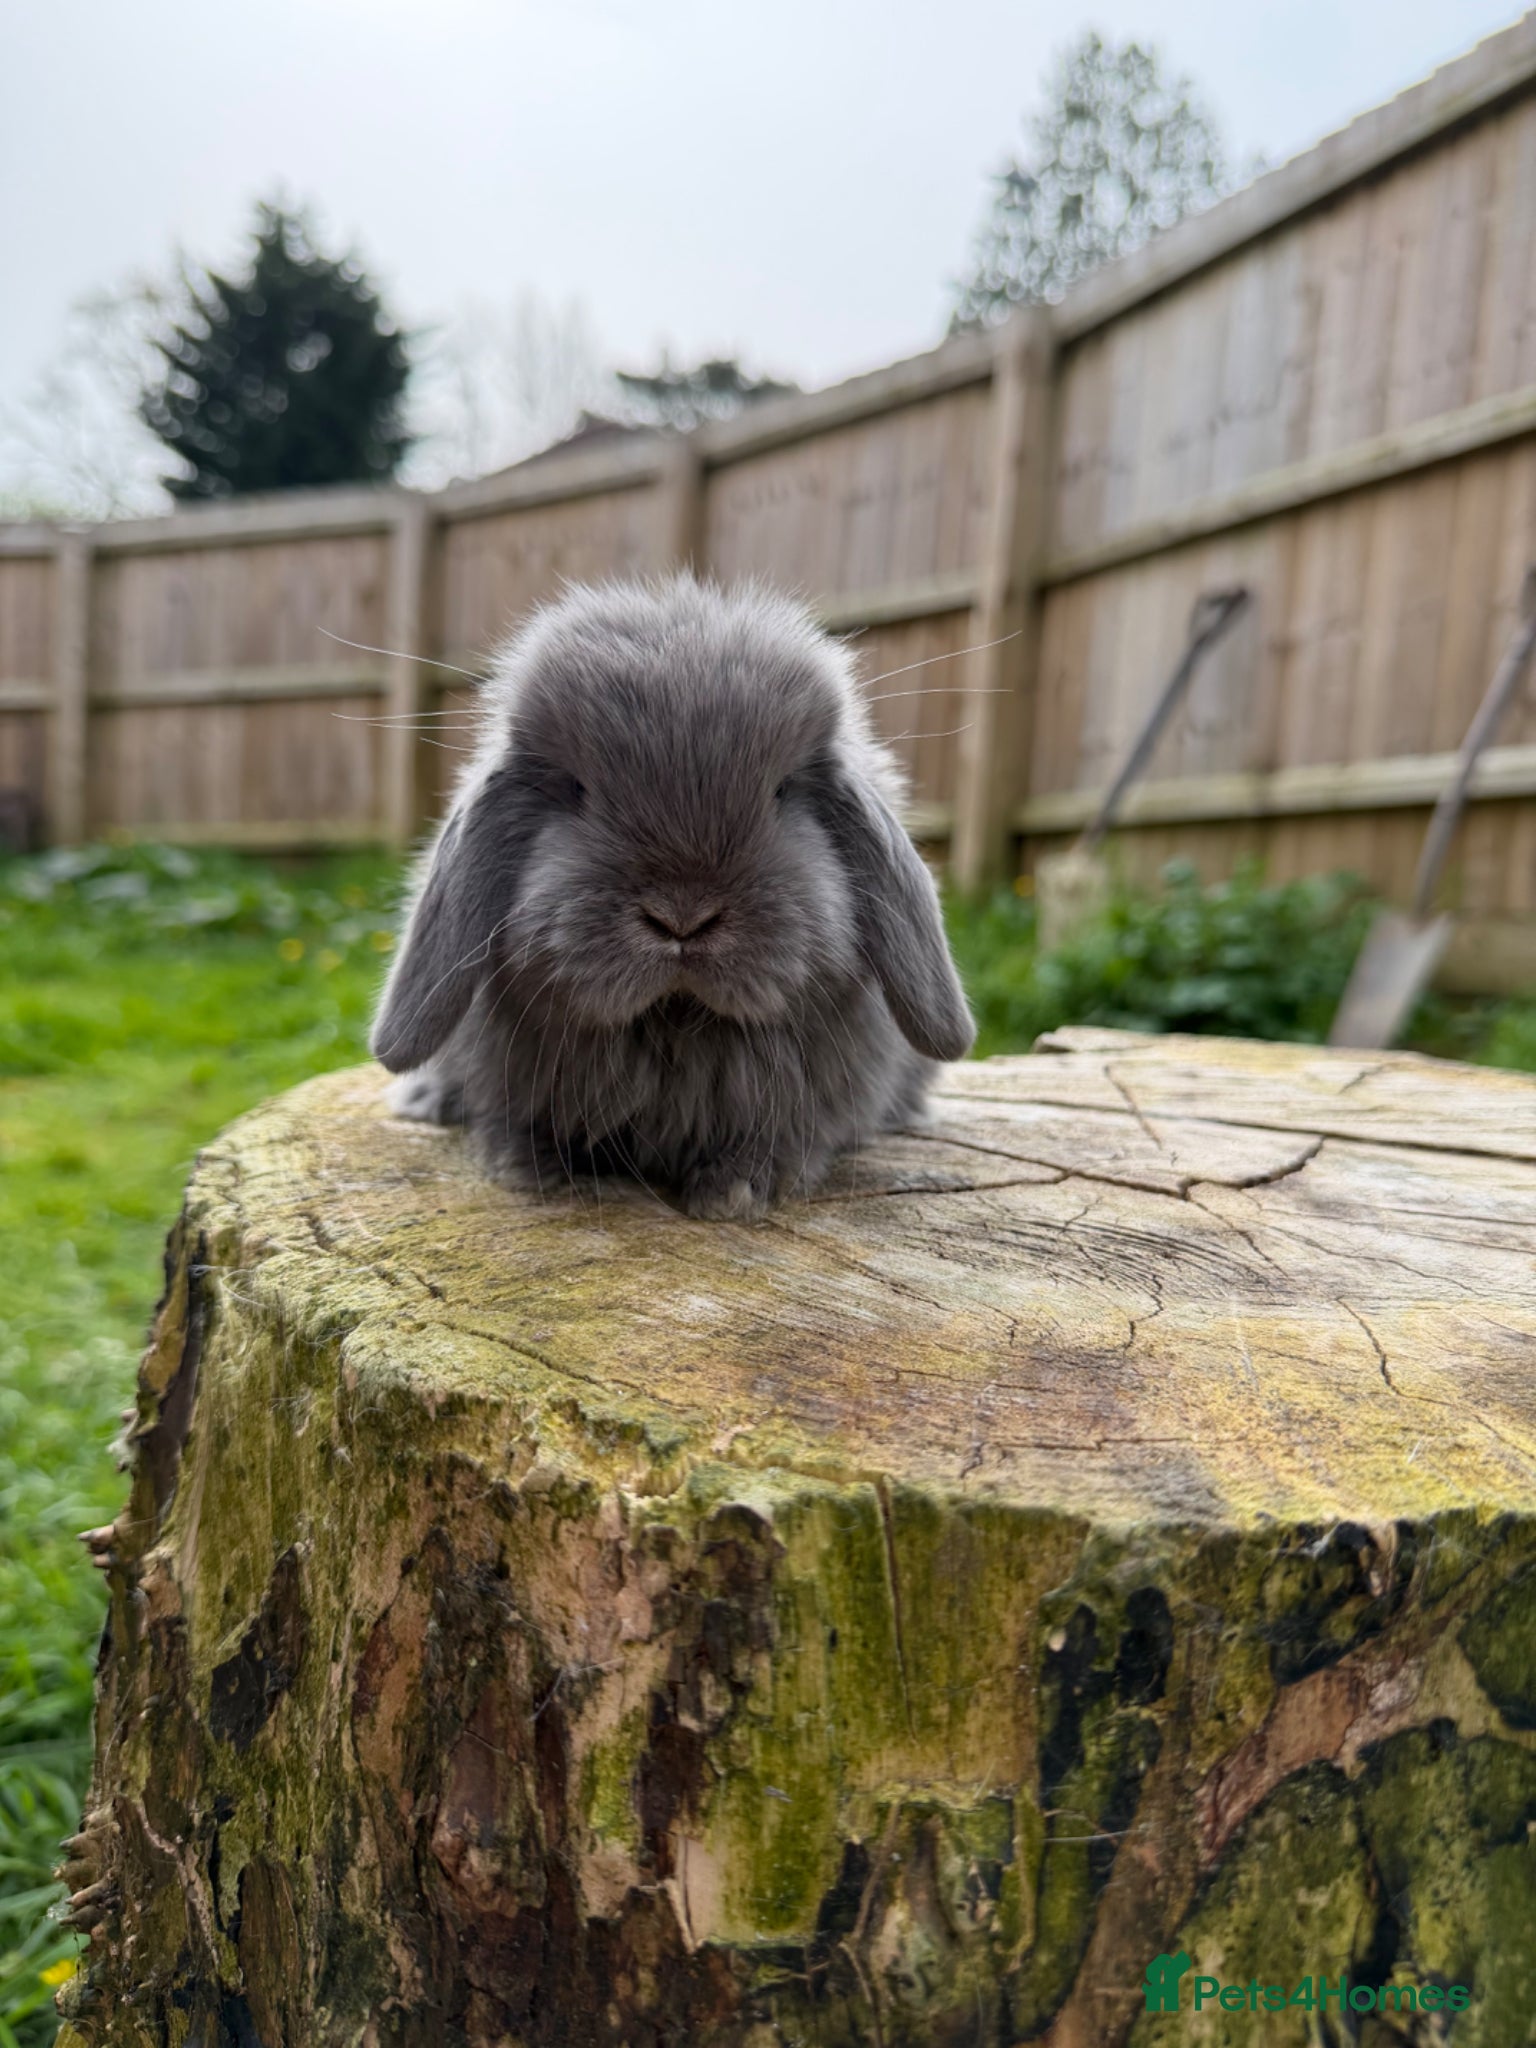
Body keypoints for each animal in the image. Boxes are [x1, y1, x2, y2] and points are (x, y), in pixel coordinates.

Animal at [370, 574, 974, 1219]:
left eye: (783, 790)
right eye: (574, 789)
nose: (682, 916)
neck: (674, 1022)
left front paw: (736, 1193)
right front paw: (535, 1170)